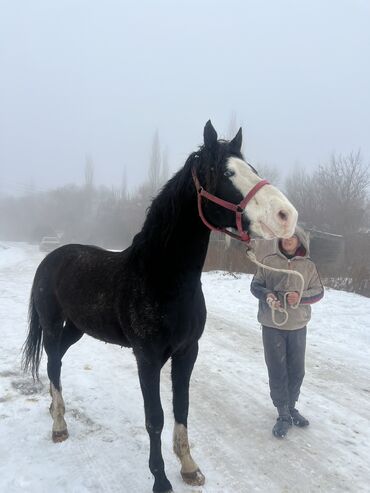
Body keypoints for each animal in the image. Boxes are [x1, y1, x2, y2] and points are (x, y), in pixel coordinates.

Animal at [21, 120, 298, 492]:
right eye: (226, 172)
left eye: (252, 169)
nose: (286, 216)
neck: (161, 277)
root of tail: (52, 257)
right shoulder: (147, 359)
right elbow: (155, 418)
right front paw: (161, 479)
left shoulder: (187, 352)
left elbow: (182, 408)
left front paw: (189, 467)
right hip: (52, 326)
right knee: (52, 365)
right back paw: (59, 426)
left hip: (76, 329)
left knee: (59, 362)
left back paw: (56, 414)